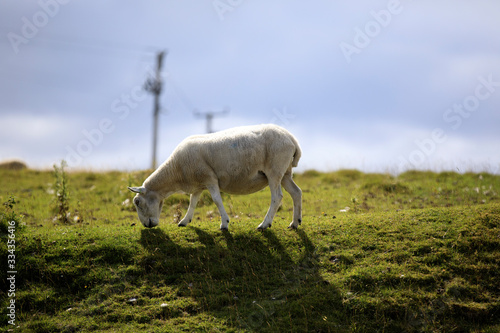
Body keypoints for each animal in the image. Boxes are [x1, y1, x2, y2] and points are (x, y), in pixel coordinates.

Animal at [127, 123, 302, 230]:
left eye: (138, 202)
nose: (147, 225)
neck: (176, 171)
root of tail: (291, 138)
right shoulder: (198, 184)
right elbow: (193, 202)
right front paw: (184, 221)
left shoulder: (210, 179)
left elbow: (217, 200)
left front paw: (224, 223)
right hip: (285, 173)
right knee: (296, 192)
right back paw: (295, 223)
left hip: (274, 170)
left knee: (277, 197)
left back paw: (264, 224)